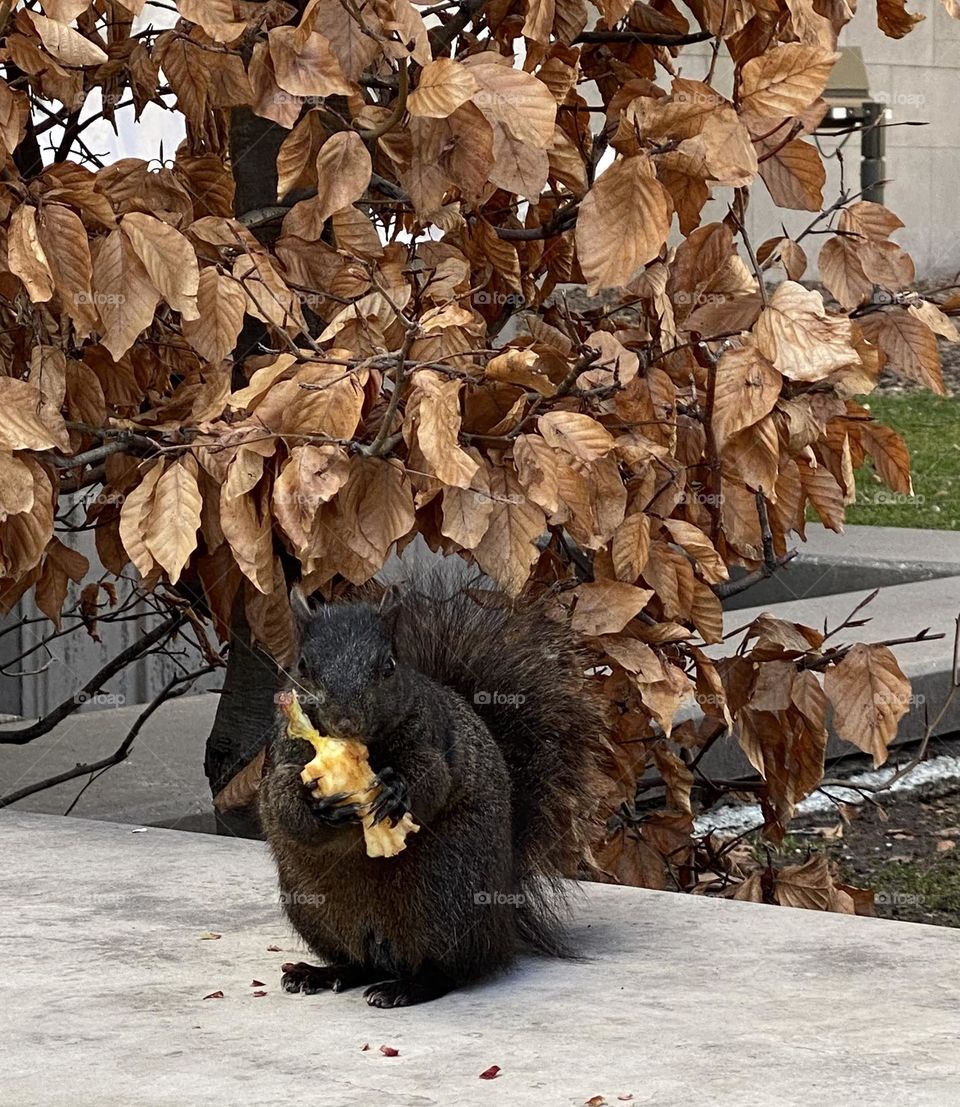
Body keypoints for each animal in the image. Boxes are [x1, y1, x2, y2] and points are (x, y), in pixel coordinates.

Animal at [257, 576, 604, 1008]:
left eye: (388, 666)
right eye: (304, 667)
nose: (346, 720)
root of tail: (503, 920)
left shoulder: (433, 740)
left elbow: (433, 779)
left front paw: (395, 791)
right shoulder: (280, 760)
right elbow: (281, 804)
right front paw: (318, 809)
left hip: (449, 893)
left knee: (450, 970)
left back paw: (406, 987)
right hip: (312, 908)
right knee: (360, 963)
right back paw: (322, 973)